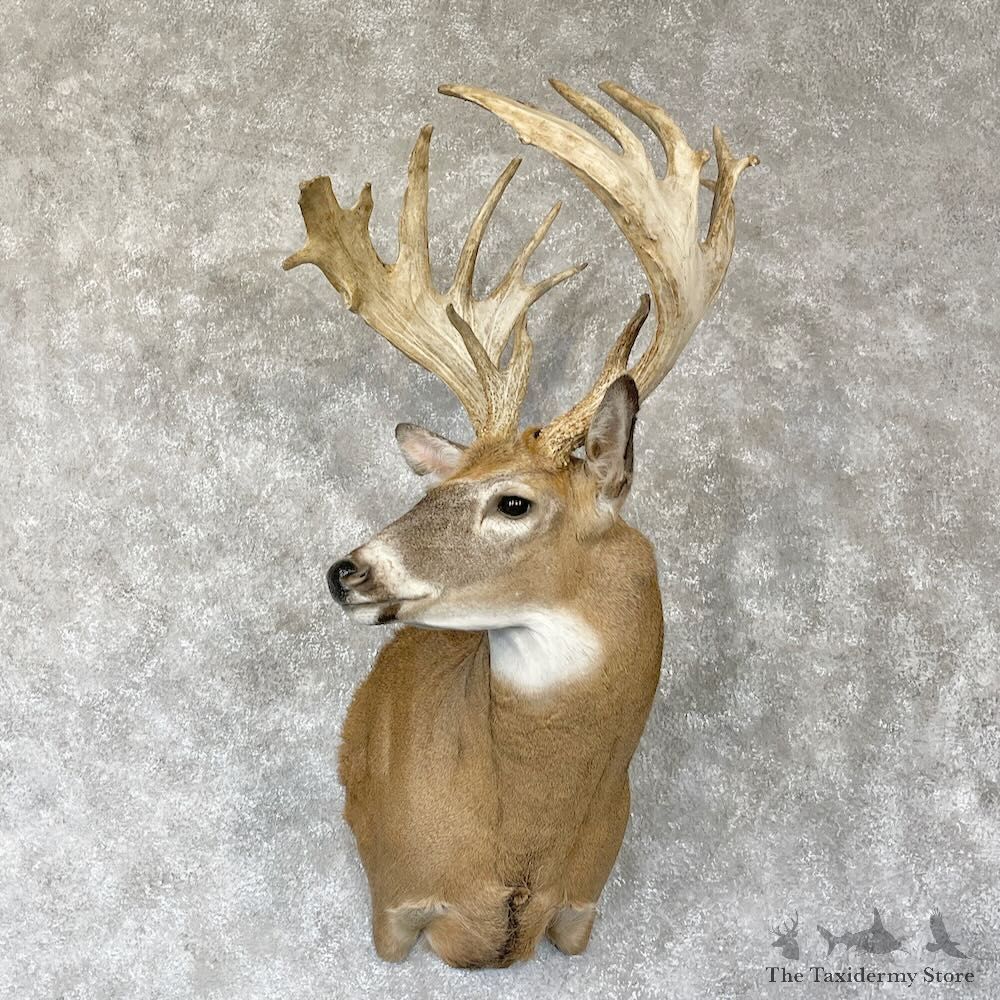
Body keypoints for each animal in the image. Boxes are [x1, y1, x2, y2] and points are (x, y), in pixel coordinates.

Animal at [283, 79, 756, 968]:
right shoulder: (393, 900)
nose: (348, 570)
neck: (519, 849)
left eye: (513, 502)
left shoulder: (582, 910)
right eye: (437, 486)